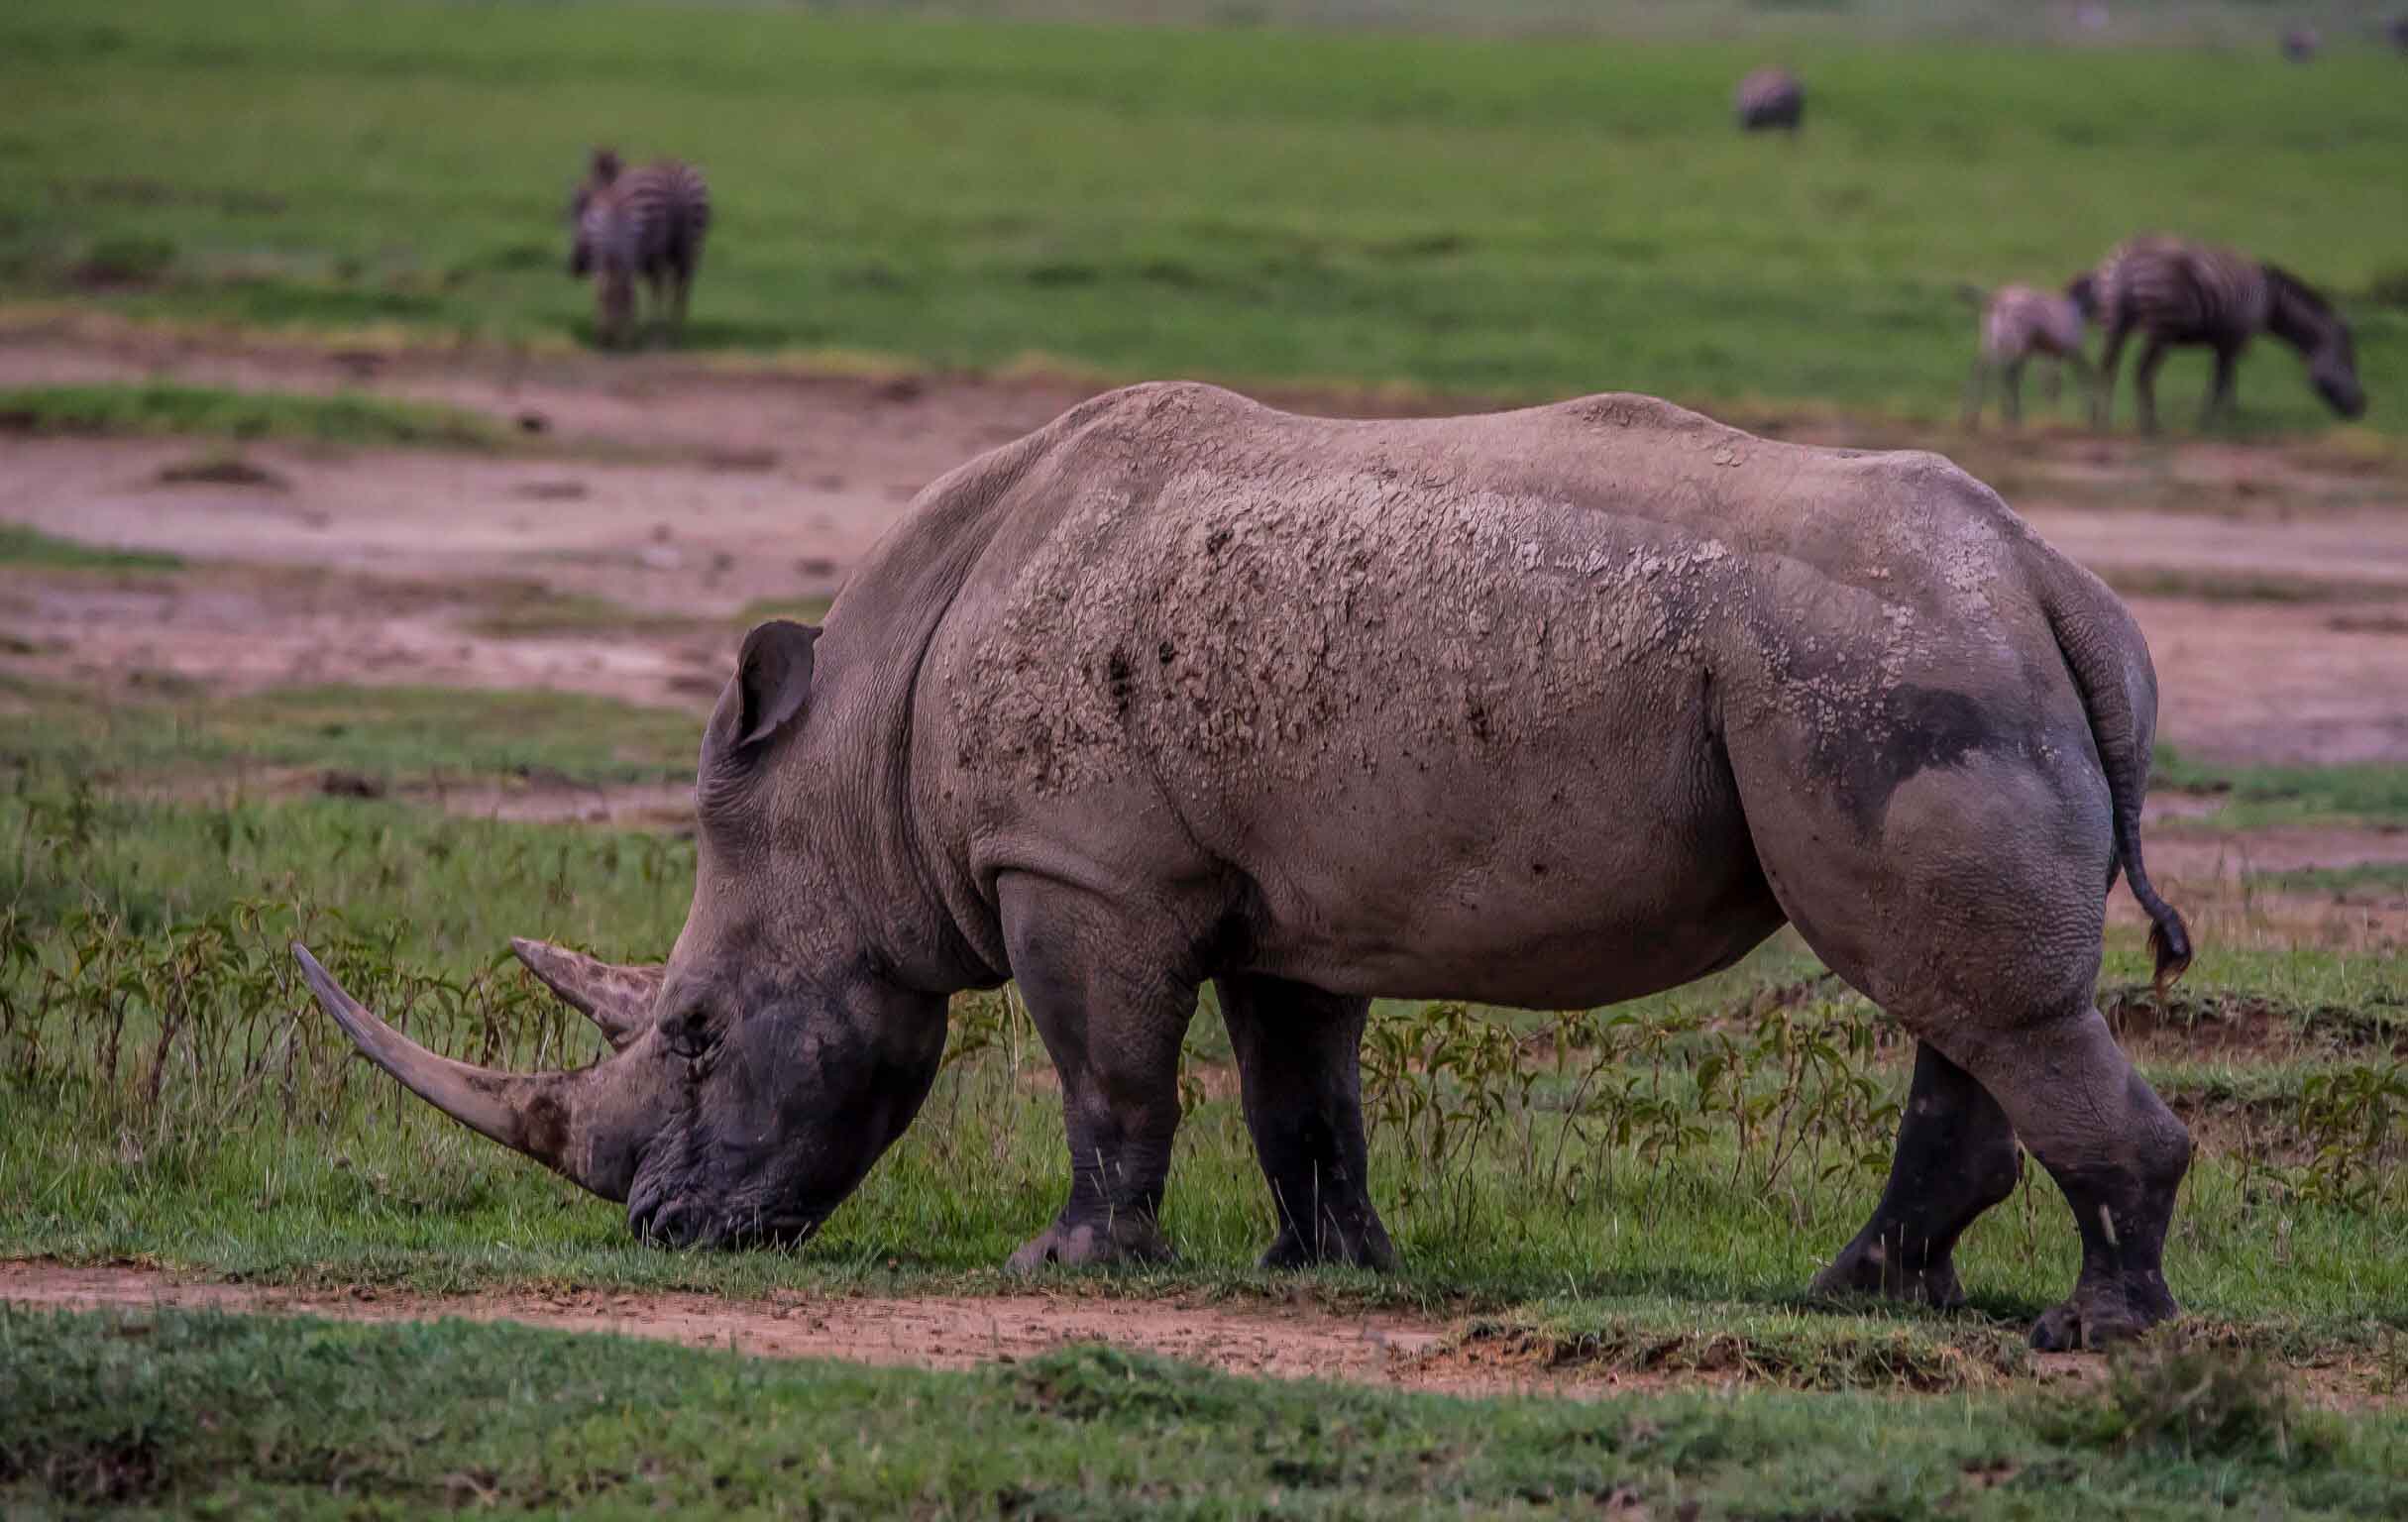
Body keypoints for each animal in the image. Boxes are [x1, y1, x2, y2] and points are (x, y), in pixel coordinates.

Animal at [568, 149, 708, 351]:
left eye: (578, 206)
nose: (575, 267)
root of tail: (675, 182)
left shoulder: (618, 256)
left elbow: (612, 290)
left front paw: (614, 334)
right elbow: (622, 291)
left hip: (653, 249)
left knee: (655, 287)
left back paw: (652, 335)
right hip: (691, 246)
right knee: (681, 288)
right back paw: (673, 333)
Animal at [1964, 278, 2099, 428]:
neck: (2074, 308)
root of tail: (1996, 299)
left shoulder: (2050, 356)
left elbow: (2052, 384)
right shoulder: (2072, 350)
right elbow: (2079, 378)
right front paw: (2090, 415)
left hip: (1992, 343)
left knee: (1982, 372)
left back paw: (1974, 419)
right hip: (2011, 344)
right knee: (2003, 374)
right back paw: (2006, 417)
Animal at [2090, 234, 2369, 433]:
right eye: (2349, 362)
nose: (2362, 409)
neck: (2271, 301)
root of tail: (2128, 257)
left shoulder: (2225, 340)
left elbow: (2225, 379)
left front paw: (2227, 417)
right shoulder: (2234, 337)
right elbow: (2221, 382)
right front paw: (2212, 423)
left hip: (2115, 322)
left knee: (2107, 367)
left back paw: (2102, 421)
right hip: (2162, 328)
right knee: (2142, 372)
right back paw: (2150, 426)